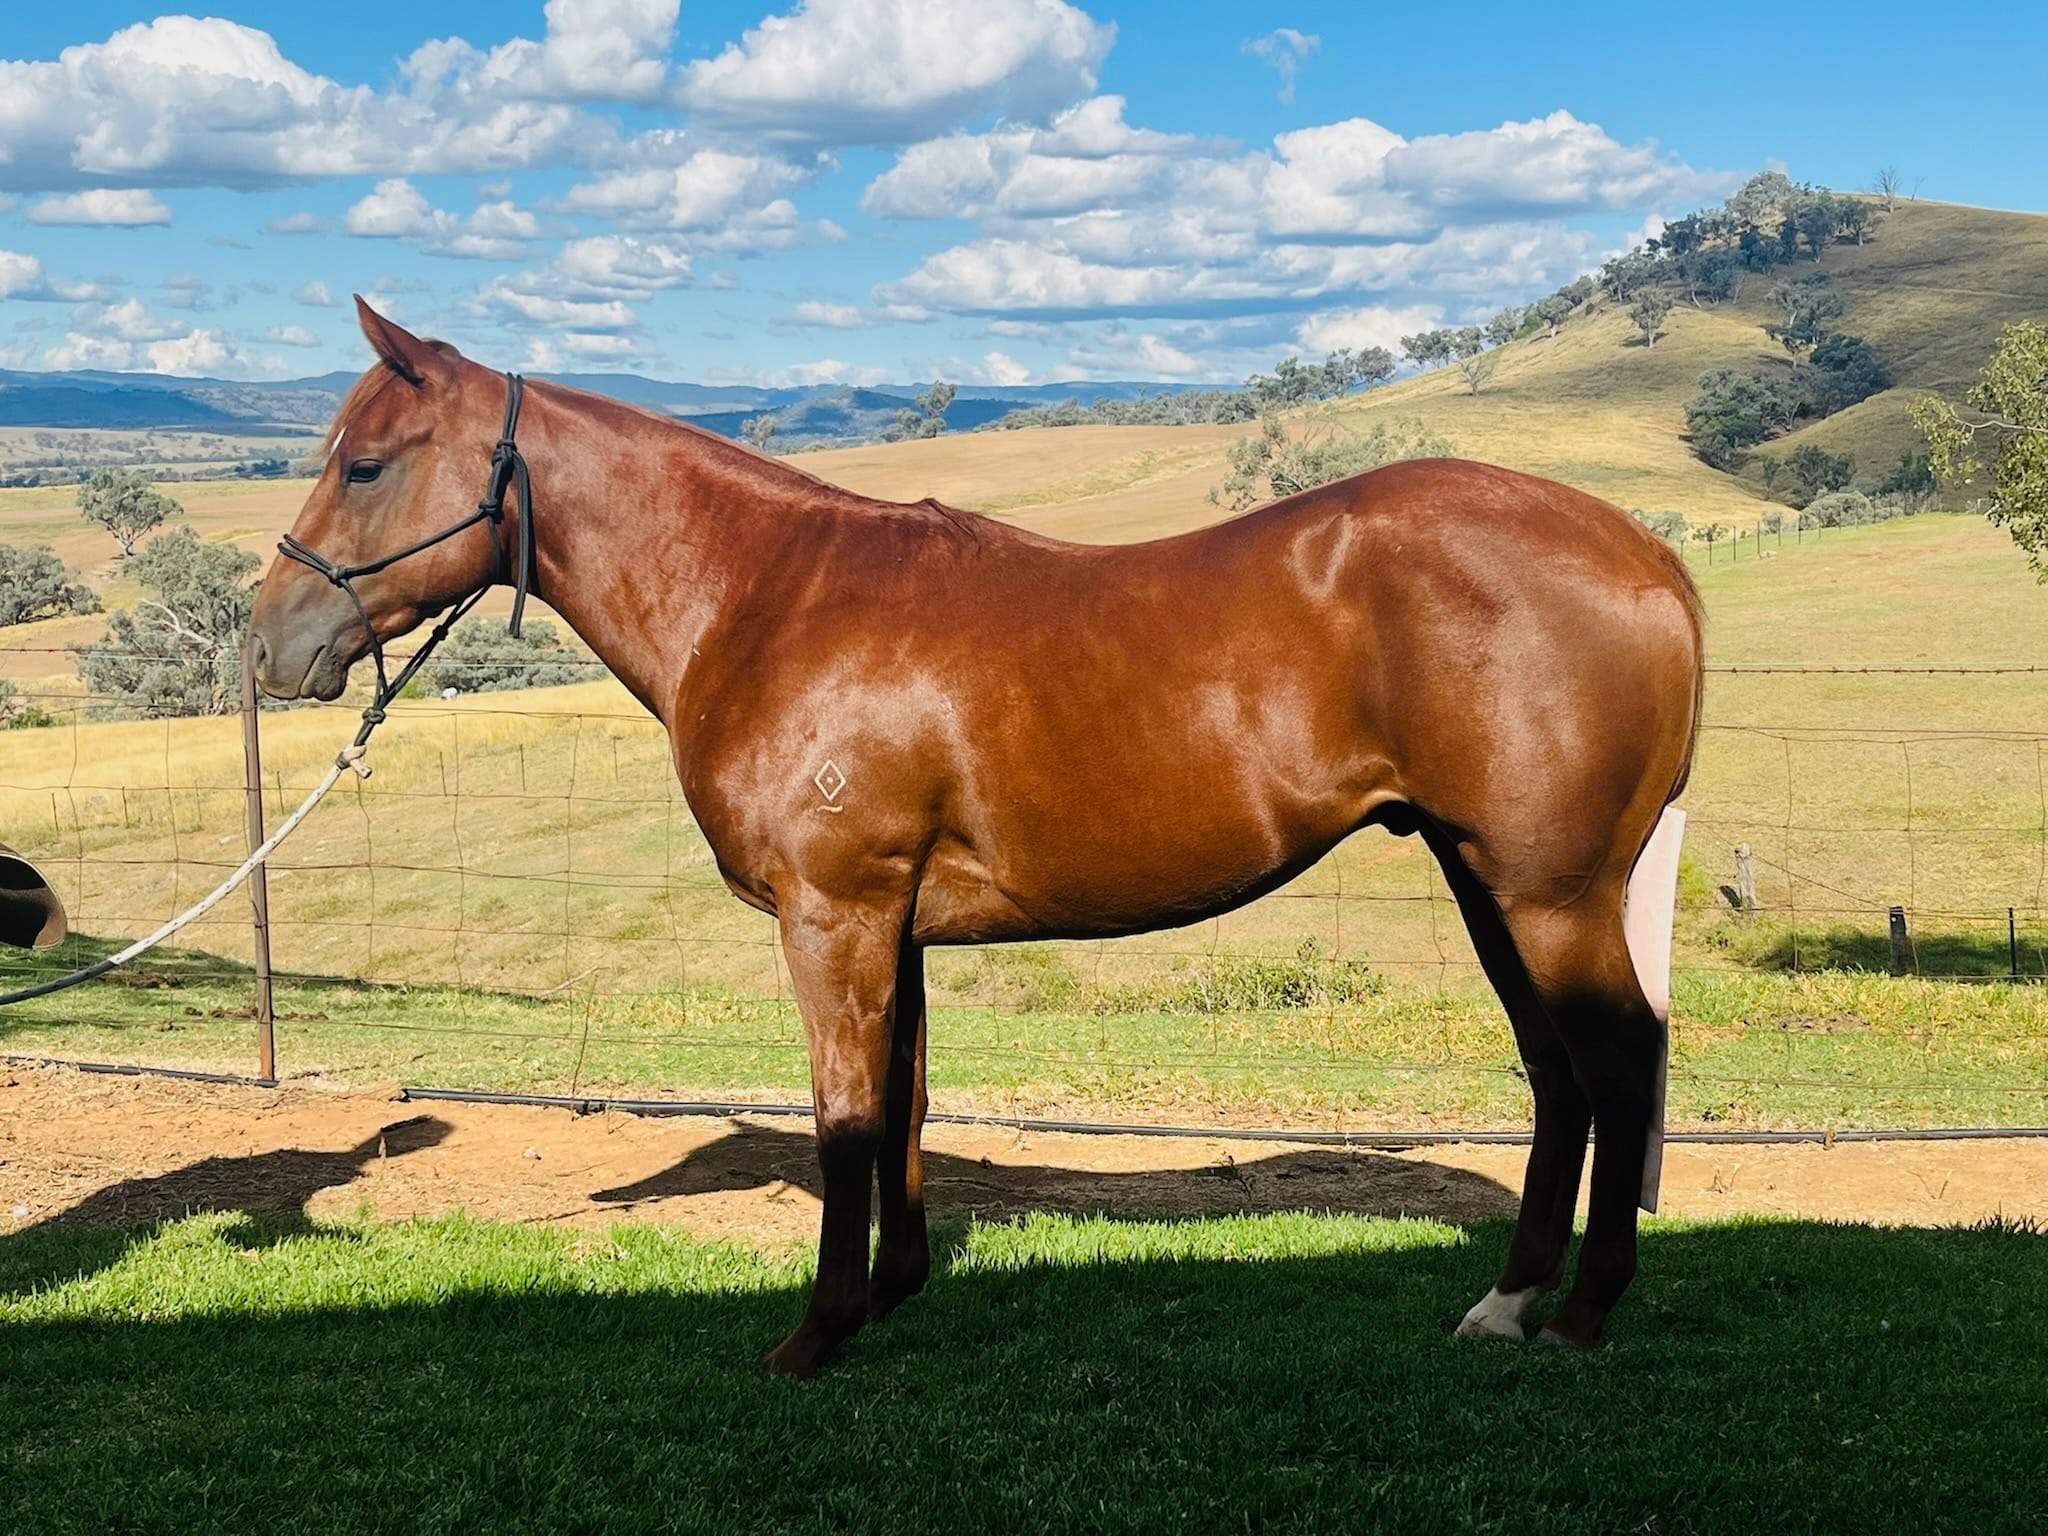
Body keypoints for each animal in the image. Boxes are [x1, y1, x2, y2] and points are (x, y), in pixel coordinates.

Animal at [249, 299, 1704, 1376]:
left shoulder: (834, 912)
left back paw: (1581, 1314)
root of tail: (1645, 557)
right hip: (1484, 878)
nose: (266, 647)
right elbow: (901, 1100)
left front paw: (817, 1333)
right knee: (1558, 1074)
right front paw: (892, 1293)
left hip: (1548, 891)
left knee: (1617, 1059)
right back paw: (1506, 1305)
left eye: (365, 463)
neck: (767, 599)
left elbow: (844, 1112)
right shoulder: (893, 925)